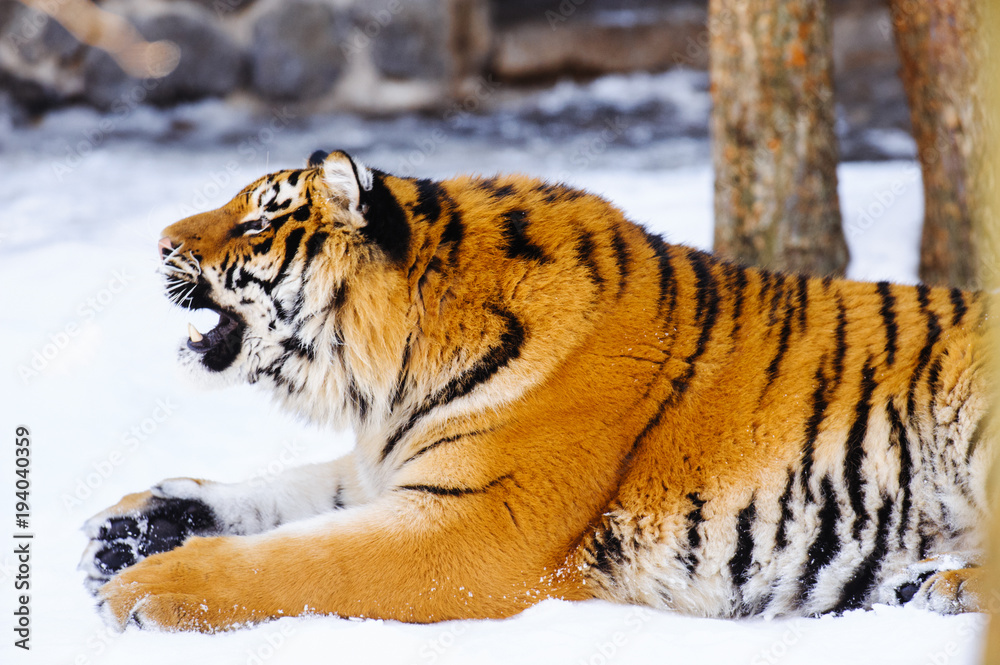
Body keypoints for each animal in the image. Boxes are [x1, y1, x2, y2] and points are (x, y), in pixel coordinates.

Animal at [79, 149, 994, 632]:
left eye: (257, 221)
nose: (159, 241)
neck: (388, 380)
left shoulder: (482, 526)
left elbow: (306, 557)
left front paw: (149, 587)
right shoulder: (399, 467)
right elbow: (289, 494)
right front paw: (130, 529)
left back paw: (948, 585)